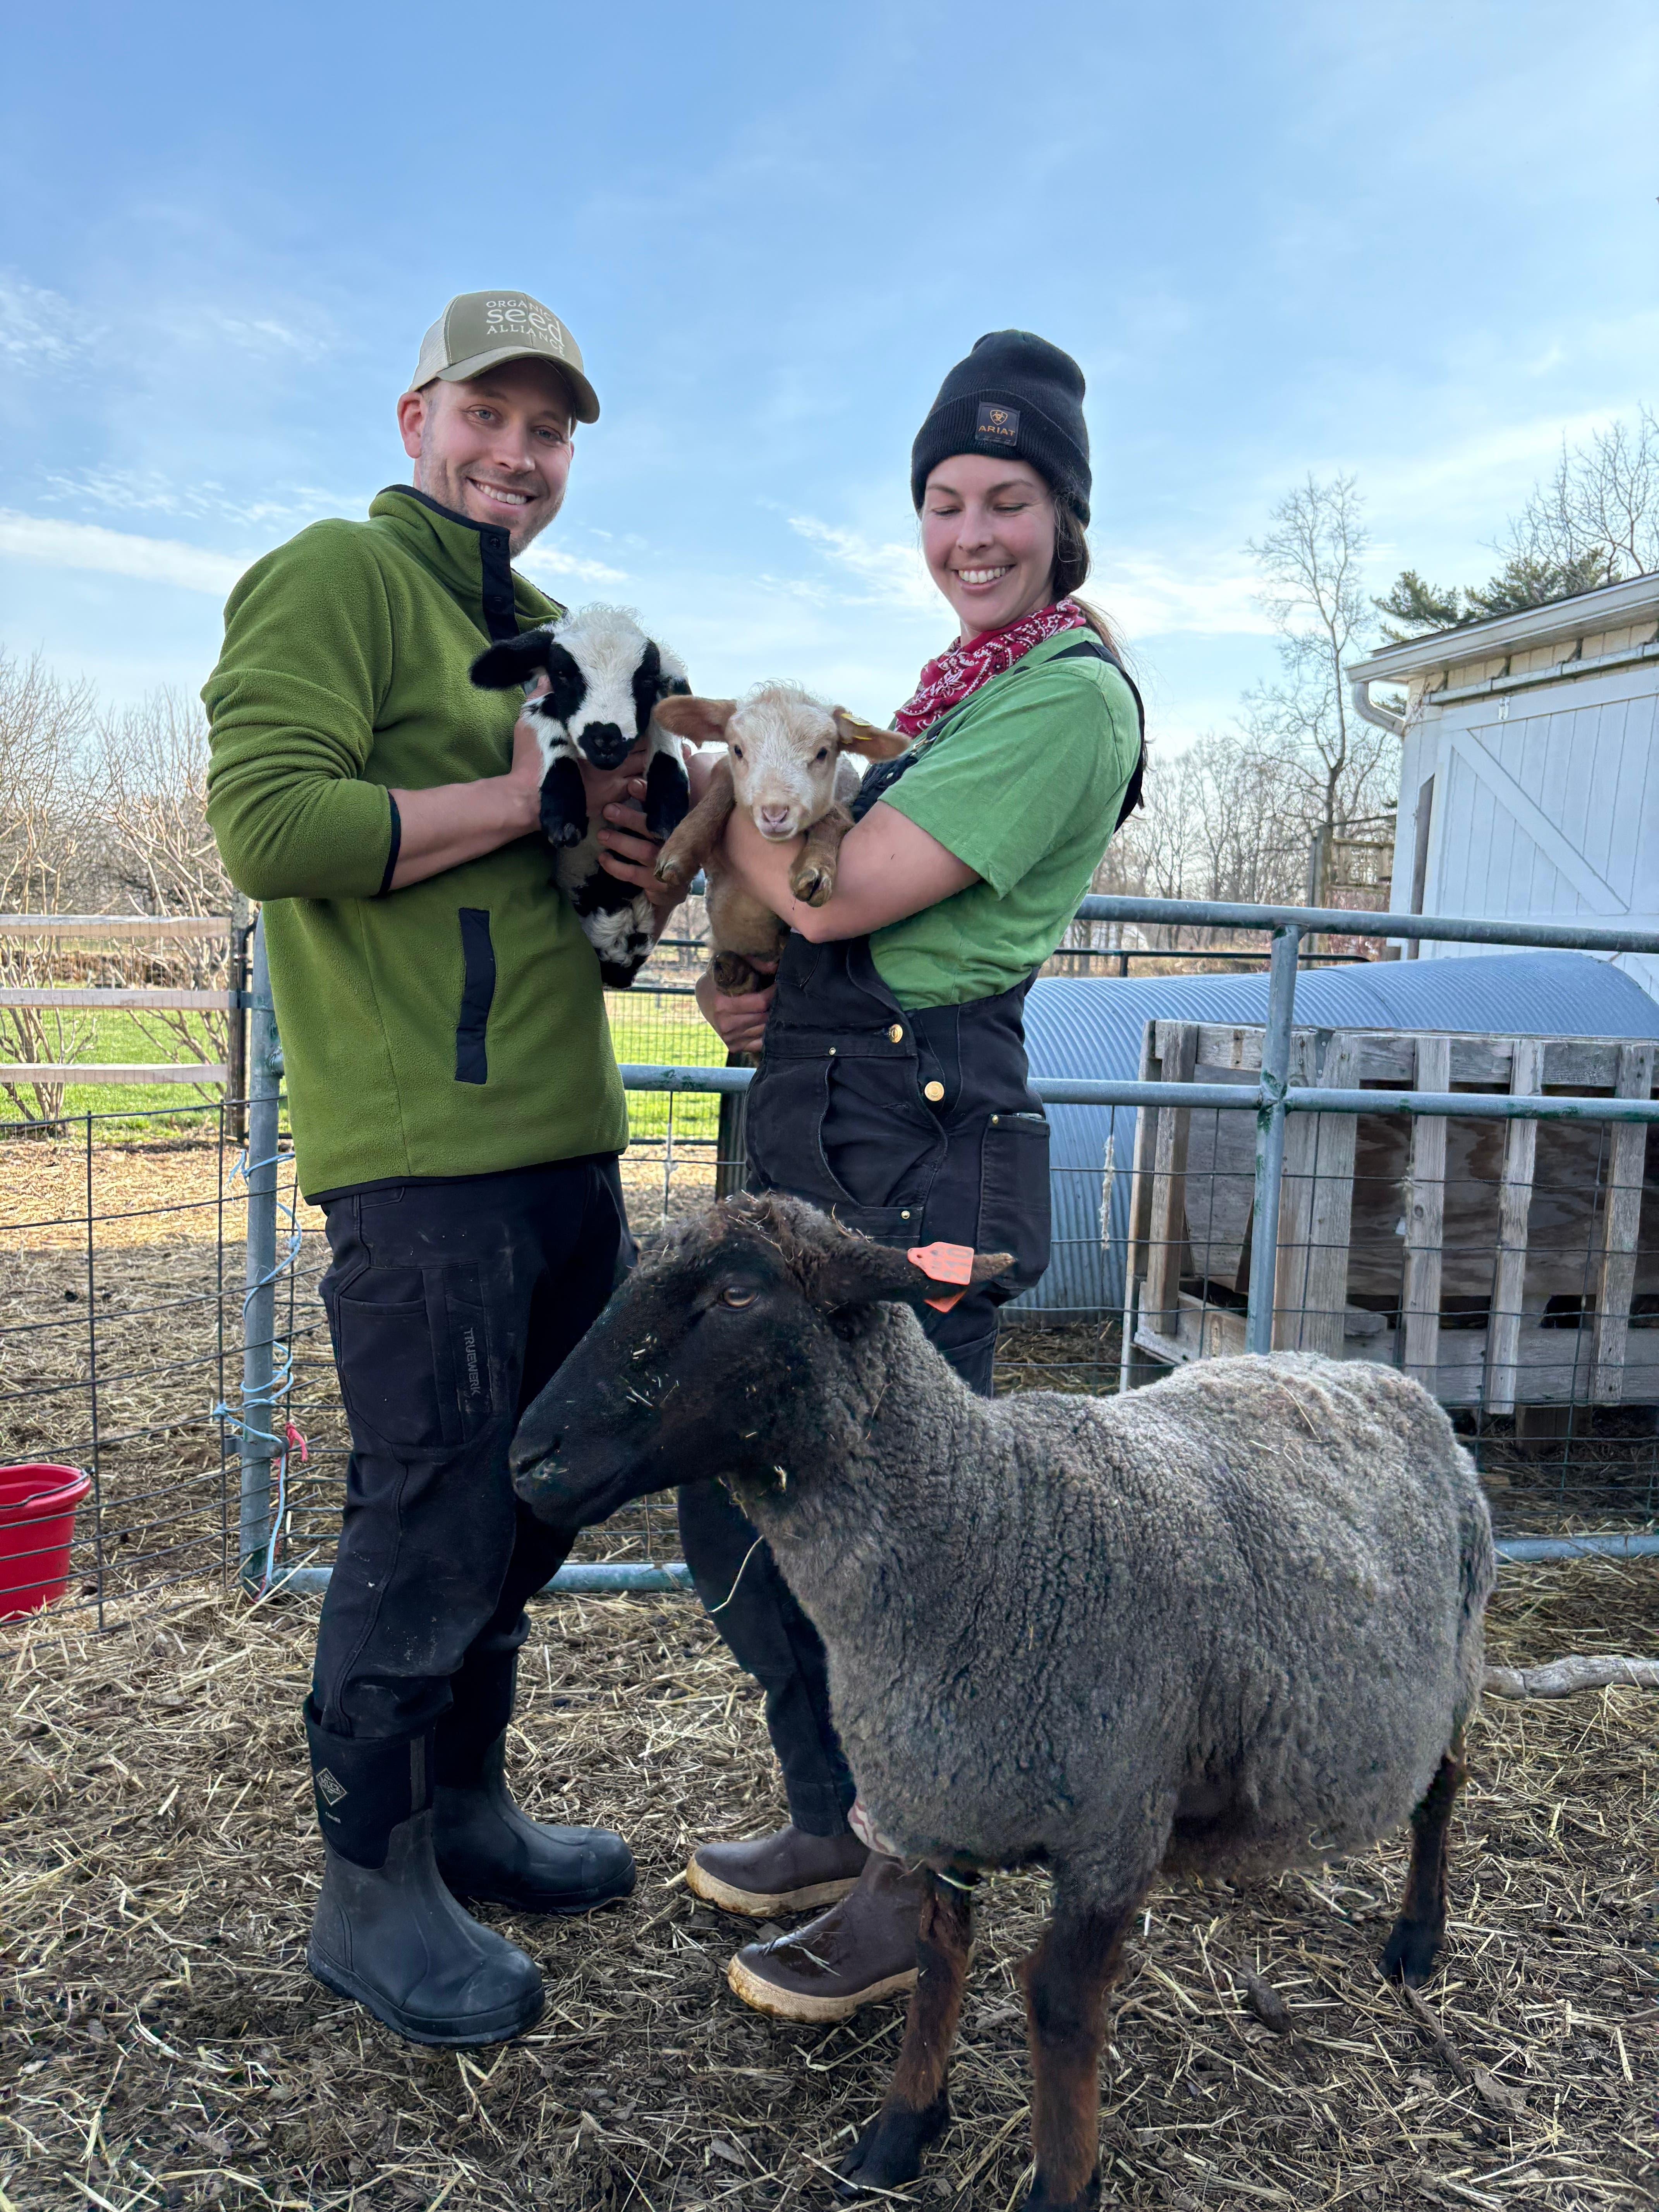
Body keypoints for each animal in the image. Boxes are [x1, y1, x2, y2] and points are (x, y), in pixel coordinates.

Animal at [470, 604, 692, 987]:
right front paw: (564, 813)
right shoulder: (541, 704)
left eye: (646, 680)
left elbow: (663, 726)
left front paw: (668, 812)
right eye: (562, 673)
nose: (606, 738)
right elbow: (548, 719)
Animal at [508, 1193, 1495, 2212]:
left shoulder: (1112, 1831)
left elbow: (1060, 2008)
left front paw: (1064, 2182)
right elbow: (938, 1964)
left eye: (738, 1293)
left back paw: (1418, 1939)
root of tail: (1377, 1375)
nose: (528, 1457)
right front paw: (901, 2133)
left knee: (1445, 1785)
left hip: (1455, 1661)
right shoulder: (945, 1801)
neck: (997, 1528)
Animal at [648, 685, 908, 995]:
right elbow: (722, 784)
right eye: (738, 749)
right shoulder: (724, 774)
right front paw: (680, 850)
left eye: (822, 753)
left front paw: (816, 870)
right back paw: (731, 971)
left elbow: (835, 817)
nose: (775, 813)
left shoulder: (842, 799)